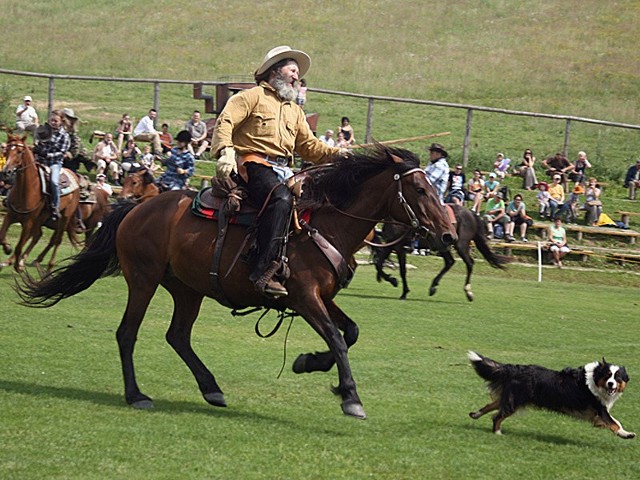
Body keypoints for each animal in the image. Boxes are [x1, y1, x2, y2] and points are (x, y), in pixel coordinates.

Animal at [0, 133, 81, 272]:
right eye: (6, 150)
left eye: (20, 151)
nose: (6, 172)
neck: (26, 188)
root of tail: (75, 177)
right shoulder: (10, 216)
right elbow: (2, 237)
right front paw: (8, 249)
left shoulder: (28, 221)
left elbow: (20, 244)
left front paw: (16, 264)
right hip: (43, 216)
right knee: (37, 235)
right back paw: (20, 261)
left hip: (64, 217)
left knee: (57, 240)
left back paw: (48, 267)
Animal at [15, 146, 456, 420]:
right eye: (420, 188)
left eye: (436, 186)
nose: (449, 234)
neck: (326, 224)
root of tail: (137, 208)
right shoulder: (304, 297)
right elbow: (336, 337)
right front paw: (350, 397)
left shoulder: (322, 297)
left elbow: (350, 332)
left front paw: (306, 362)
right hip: (143, 280)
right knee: (127, 333)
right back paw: (136, 395)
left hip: (187, 289)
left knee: (177, 336)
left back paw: (211, 388)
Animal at [372, 204, 508, 302]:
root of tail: (471, 213)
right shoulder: (390, 244)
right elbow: (378, 264)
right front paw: (392, 280)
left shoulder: (400, 248)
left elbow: (402, 271)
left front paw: (404, 291)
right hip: (443, 245)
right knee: (450, 262)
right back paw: (433, 286)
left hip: (461, 245)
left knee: (469, 263)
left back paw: (468, 291)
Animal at [464, 350, 636, 436]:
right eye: (607, 375)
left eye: (618, 377)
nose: (611, 384)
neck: (594, 378)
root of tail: (514, 369)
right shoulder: (599, 409)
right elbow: (614, 423)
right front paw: (627, 434)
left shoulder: (597, 412)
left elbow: (615, 421)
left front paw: (625, 433)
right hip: (515, 401)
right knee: (497, 416)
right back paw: (498, 432)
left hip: (511, 397)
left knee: (492, 404)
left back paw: (475, 414)